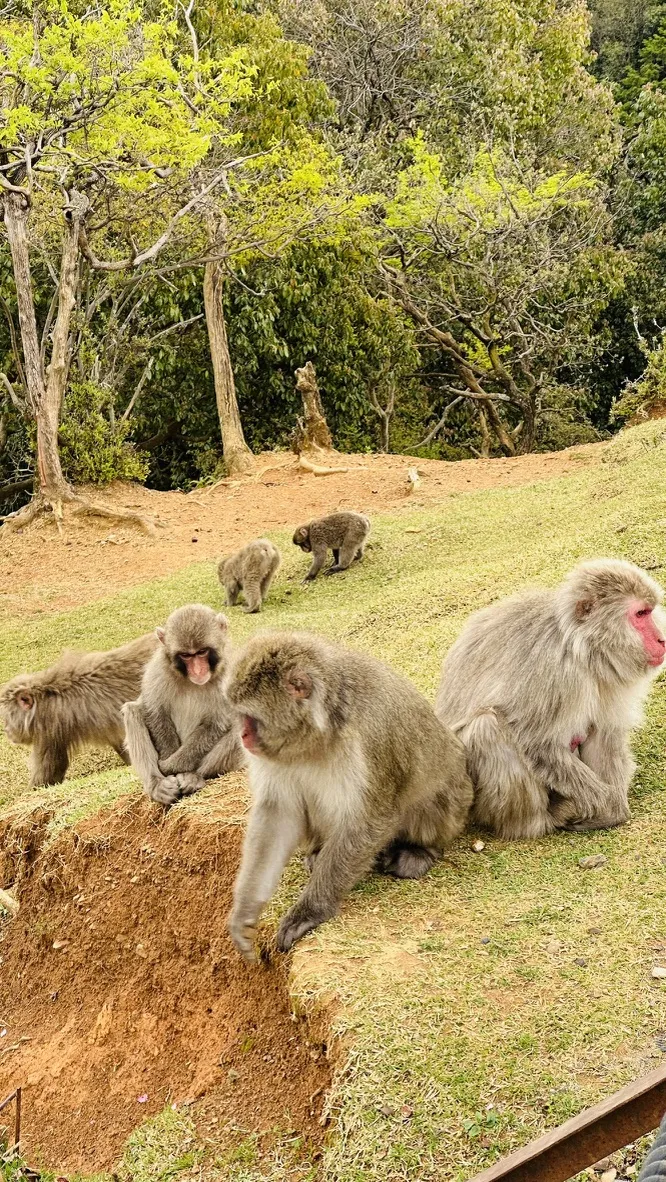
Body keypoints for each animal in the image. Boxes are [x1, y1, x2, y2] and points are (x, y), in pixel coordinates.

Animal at [122, 604, 244, 806]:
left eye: (202, 652)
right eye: (186, 655)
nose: (198, 671)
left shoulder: (230, 675)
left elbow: (216, 723)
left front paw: (172, 765)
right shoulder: (158, 670)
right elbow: (155, 712)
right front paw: (166, 764)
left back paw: (194, 776)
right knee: (133, 711)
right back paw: (157, 784)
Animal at [224, 631, 473, 961]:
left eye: (250, 717)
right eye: (240, 716)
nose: (243, 736)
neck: (318, 732)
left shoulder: (371, 737)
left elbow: (369, 819)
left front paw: (310, 911)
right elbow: (278, 814)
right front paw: (246, 910)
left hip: (458, 797)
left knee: (433, 798)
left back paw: (419, 851)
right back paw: (317, 853)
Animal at [435, 559, 666, 841]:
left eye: (649, 611)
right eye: (641, 614)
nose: (661, 640)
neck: (579, 646)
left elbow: (603, 734)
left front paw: (614, 809)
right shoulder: (555, 672)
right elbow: (538, 744)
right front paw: (609, 808)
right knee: (487, 727)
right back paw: (536, 821)